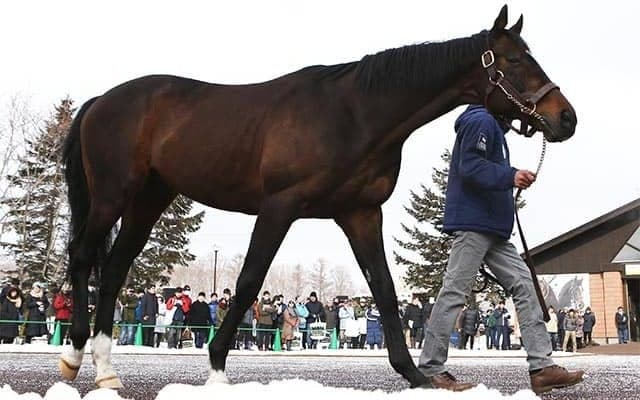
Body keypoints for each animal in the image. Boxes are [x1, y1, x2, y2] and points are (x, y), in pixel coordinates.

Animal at [59, 5, 576, 389]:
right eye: (514, 61)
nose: (566, 118)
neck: (352, 113)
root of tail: (100, 101)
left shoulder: (361, 213)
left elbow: (384, 289)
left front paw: (414, 375)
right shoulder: (278, 208)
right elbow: (249, 281)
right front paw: (218, 368)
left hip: (149, 199)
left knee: (115, 269)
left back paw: (106, 371)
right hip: (112, 196)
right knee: (83, 256)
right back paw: (74, 357)